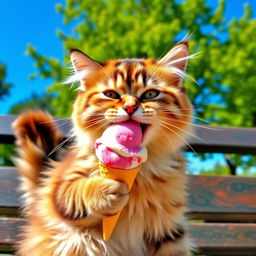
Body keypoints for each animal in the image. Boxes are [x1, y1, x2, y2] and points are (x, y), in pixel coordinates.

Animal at [12, 41, 192, 255]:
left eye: (150, 94)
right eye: (111, 95)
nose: (130, 108)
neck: (140, 173)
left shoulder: (169, 232)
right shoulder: (58, 187)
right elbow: (76, 192)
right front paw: (108, 191)